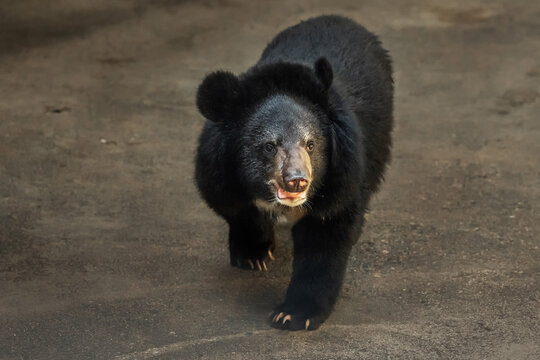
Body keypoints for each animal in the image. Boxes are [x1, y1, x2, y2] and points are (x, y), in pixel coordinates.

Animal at [194, 16, 392, 332]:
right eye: (269, 146)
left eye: (311, 144)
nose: (297, 180)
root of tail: (341, 19)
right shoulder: (218, 168)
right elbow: (233, 205)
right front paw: (253, 254)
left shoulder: (342, 174)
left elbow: (326, 238)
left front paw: (293, 315)